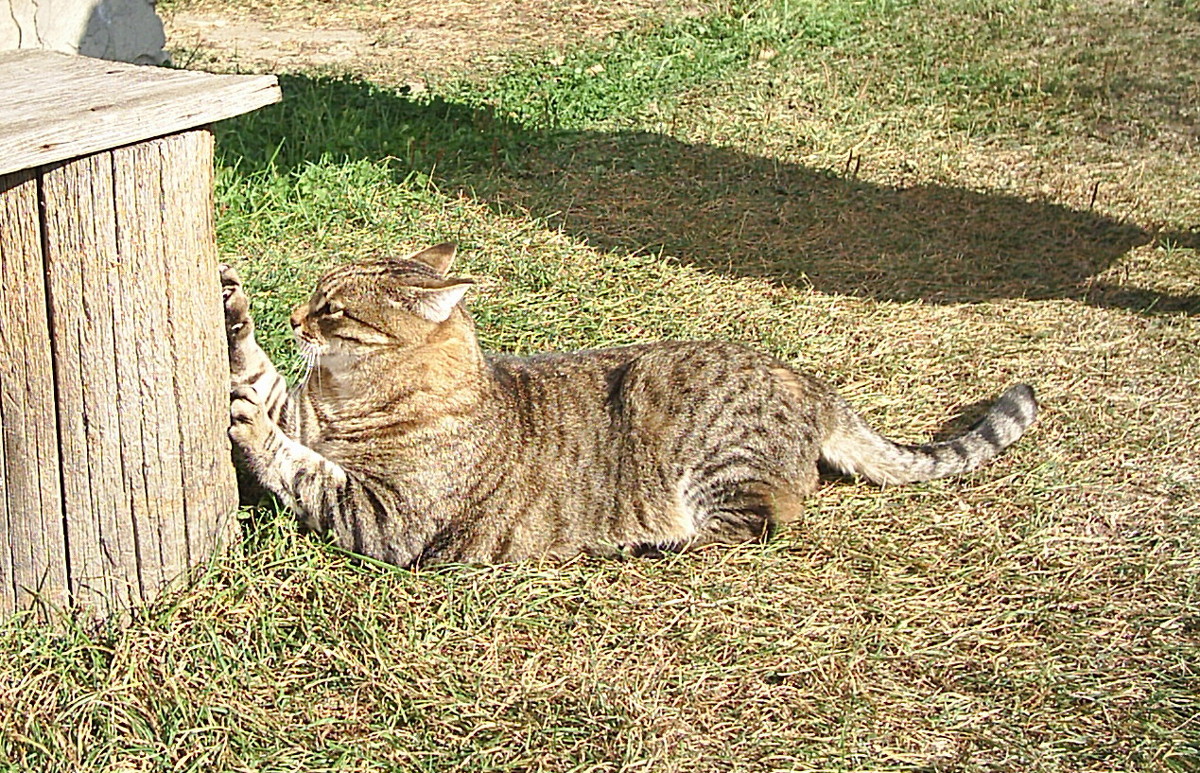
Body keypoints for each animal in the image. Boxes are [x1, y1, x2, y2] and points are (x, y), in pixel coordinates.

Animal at [223, 244, 1032, 564]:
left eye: (332, 310)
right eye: (313, 298)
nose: (294, 316)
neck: (347, 396)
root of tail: (808, 381)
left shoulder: (387, 517)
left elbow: (304, 468)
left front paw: (252, 431)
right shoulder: (304, 410)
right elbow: (257, 374)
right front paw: (232, 307)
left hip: (709, 454)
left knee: (762, 524)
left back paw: (647, 542)